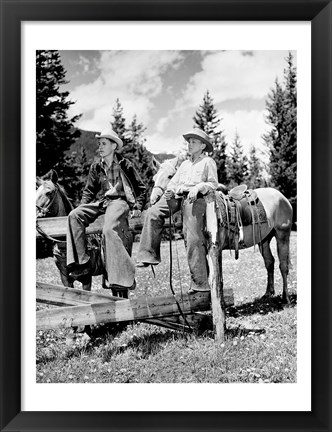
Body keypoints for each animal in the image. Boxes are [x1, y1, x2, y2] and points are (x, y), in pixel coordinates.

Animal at [150, 159, 294, 304]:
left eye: (170, 176)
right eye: (154, 178)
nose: (153, 199)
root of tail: (282, 197)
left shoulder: (216, 248)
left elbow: (218, 278)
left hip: (282, 235)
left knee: (283, 265)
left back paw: (286, 297)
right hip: (263, 240)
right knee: (269, 262)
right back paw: (268, 293)